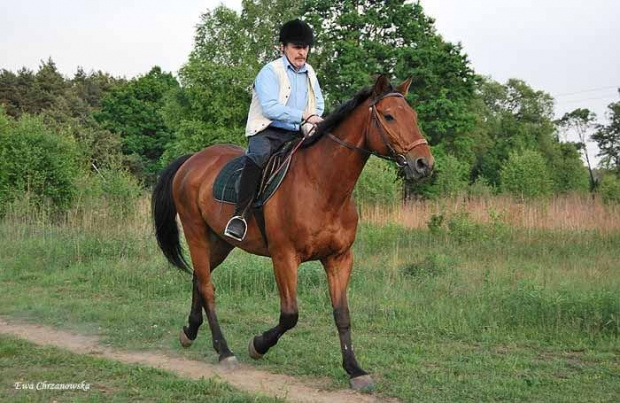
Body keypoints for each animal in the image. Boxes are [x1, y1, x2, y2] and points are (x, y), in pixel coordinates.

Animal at [151, 76, 434, 392]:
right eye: (389, 116)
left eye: (414, 116)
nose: (424, 164)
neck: (323, 186)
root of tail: (192, 161)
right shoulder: (284, 257)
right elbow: (290, 315)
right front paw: (258, 345)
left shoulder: (339, 258)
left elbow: (342, 315)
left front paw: (354, 370)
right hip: (196, 232)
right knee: (208, 288)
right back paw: (224, 351)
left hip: (222, 242)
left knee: (199, 279)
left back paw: (189, 332)